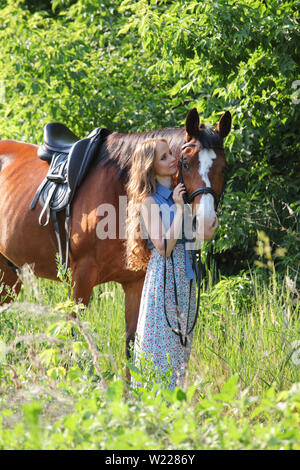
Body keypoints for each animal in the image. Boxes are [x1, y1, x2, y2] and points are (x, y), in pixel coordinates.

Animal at [0, 107, 232, 360]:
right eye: (186, 164)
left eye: (224, 168)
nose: (206, 223)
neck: (120, 191)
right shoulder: (80, 277)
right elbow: (72, 340)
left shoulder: (135, 282)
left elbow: (131, 344)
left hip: (10, 273)